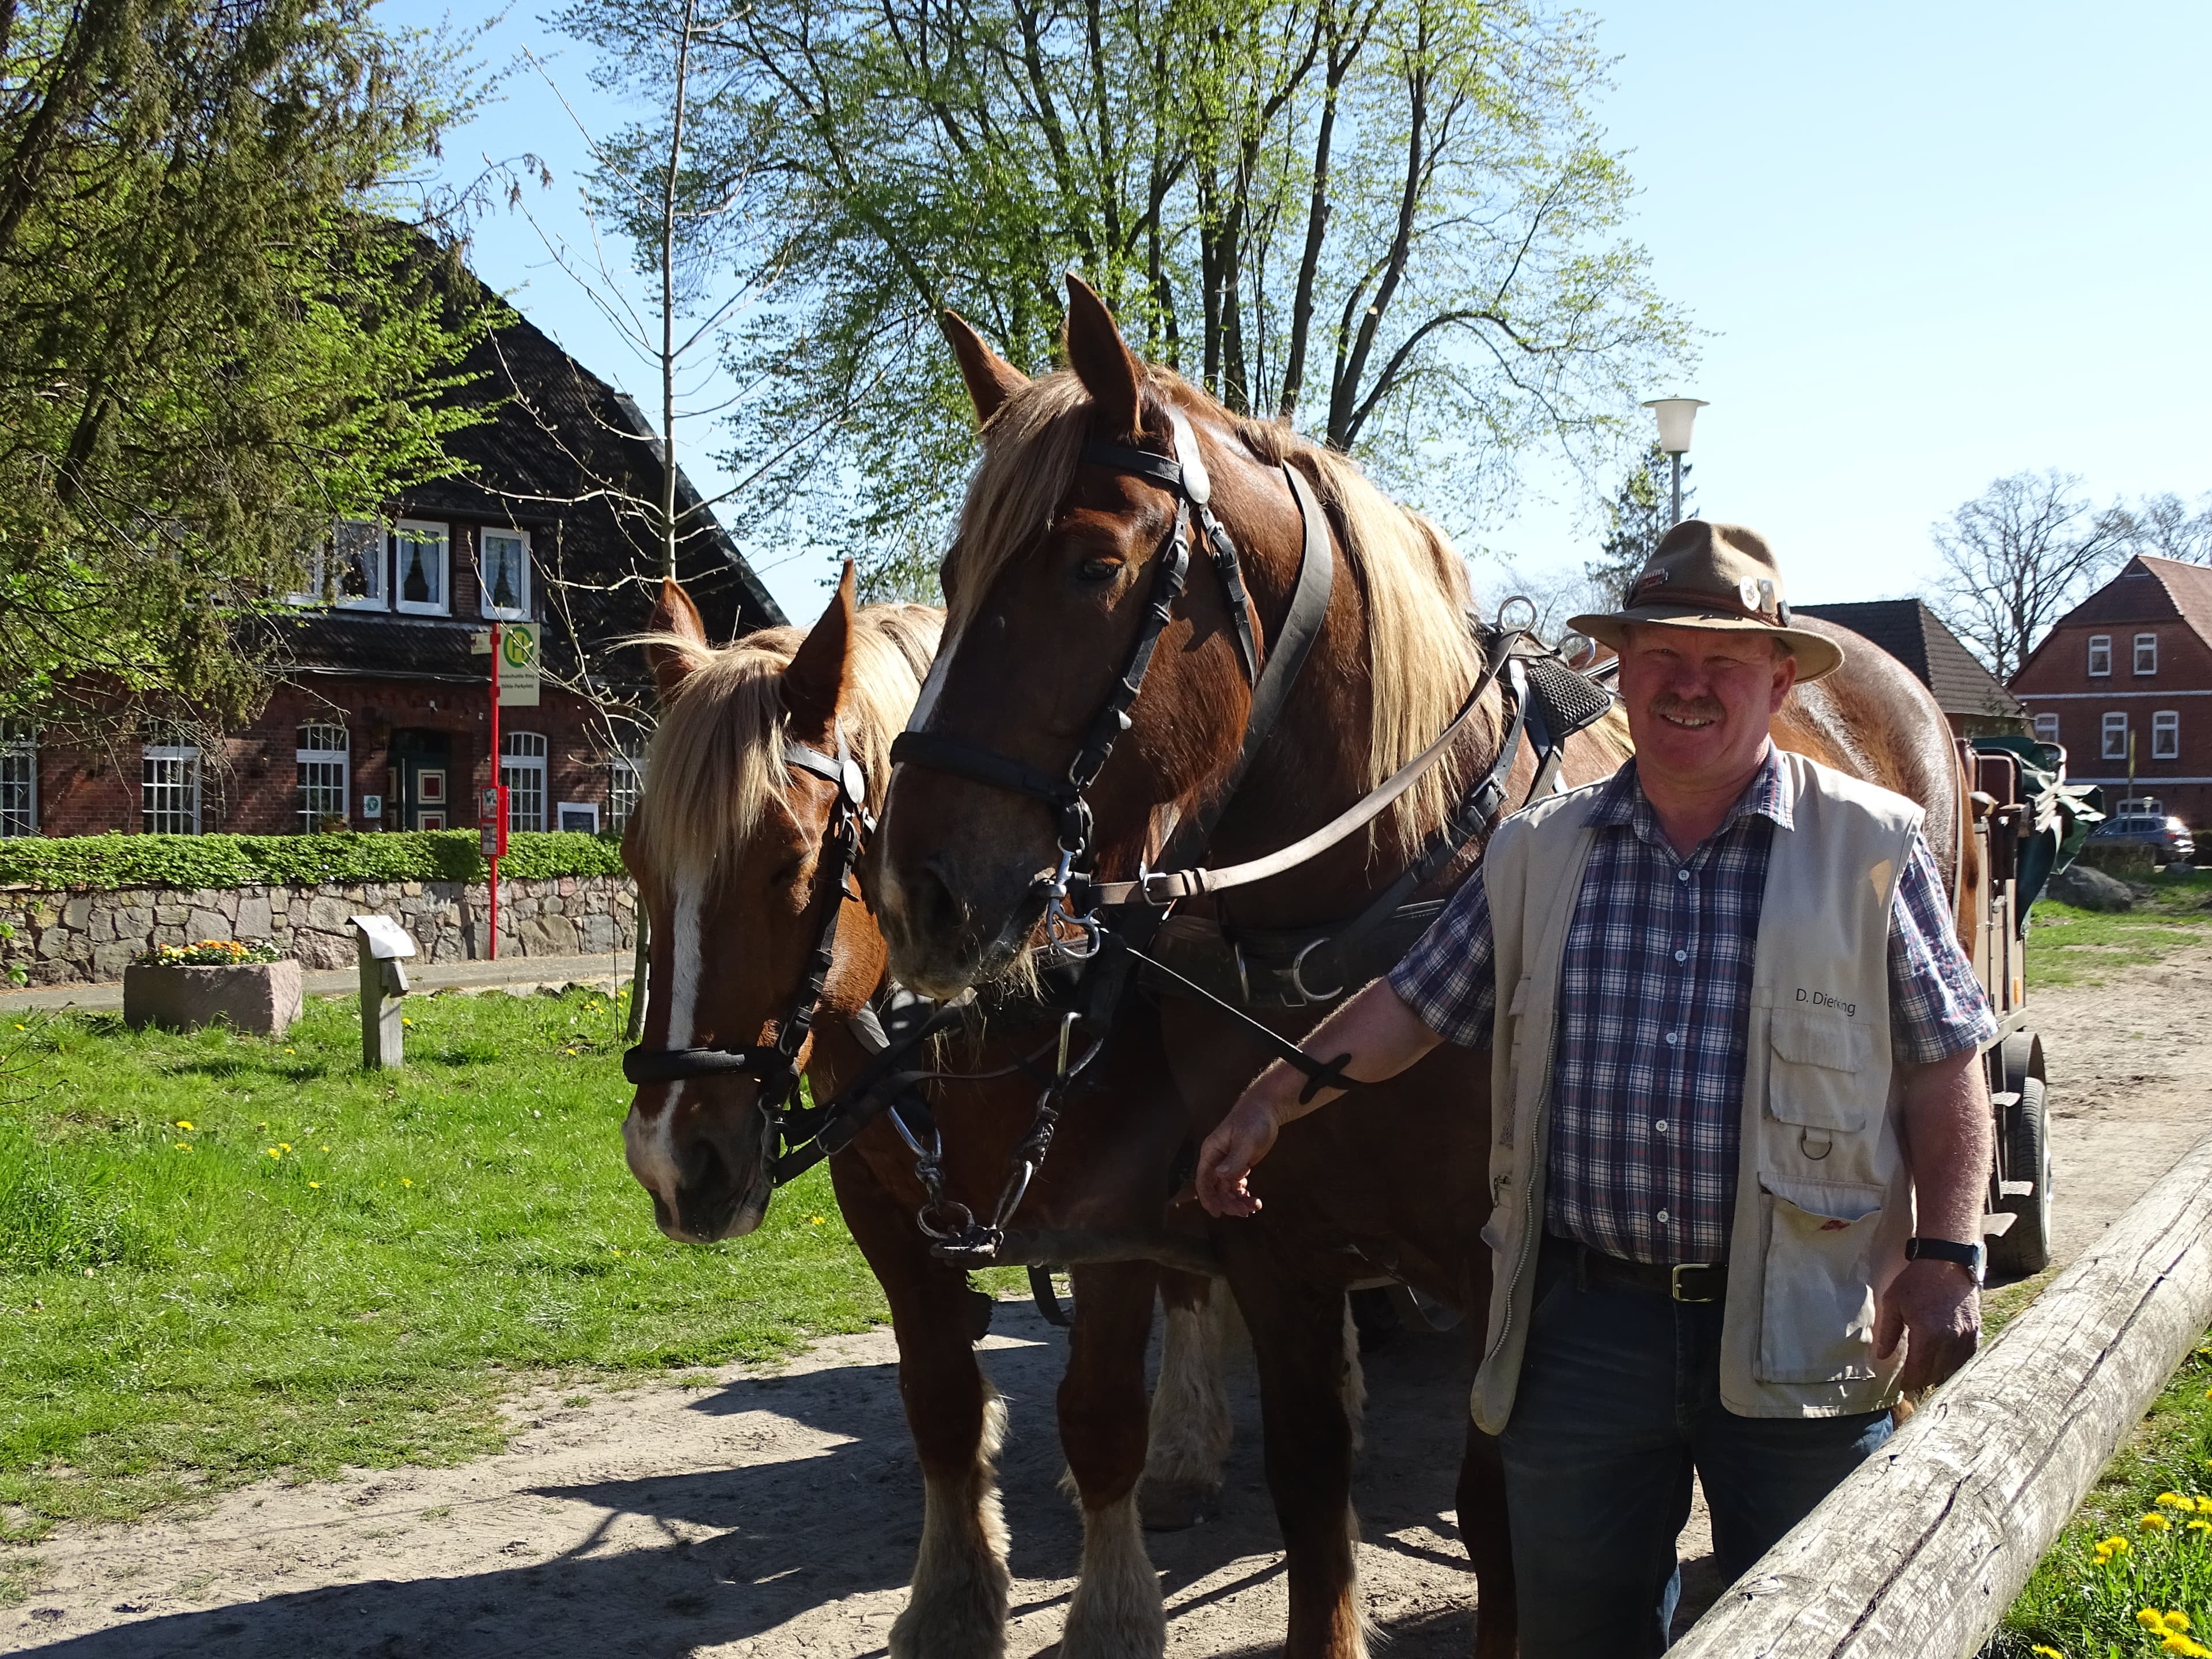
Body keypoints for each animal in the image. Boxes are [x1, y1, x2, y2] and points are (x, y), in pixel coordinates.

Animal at [623, 570, 1238, 1654]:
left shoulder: (1115, 1210)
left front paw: (1114, 1613)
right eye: (633, 857)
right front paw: (953, 1602)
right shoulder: (883, 1204)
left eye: (790, 860)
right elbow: (942, 1403)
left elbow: (1102, 1416)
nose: (669, 1160)